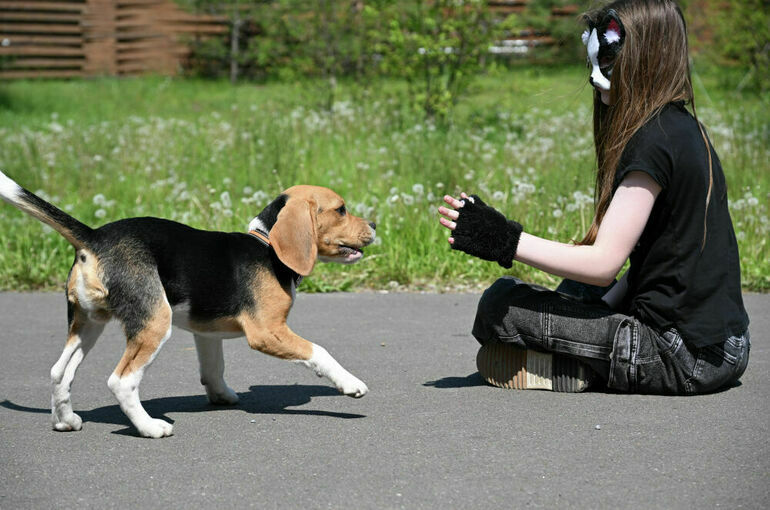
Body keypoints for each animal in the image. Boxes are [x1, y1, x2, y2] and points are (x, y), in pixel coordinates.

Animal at [0, 172, 374, 438]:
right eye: (341, 209)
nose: (374, 224)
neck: (267, 246)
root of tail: (95, 236)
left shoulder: (206, 333)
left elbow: (213, 369)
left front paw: (221, 396)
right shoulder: (268, 332)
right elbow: (319, 351)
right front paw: (350, 384)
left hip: (88, 323)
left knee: (60, 371)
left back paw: (65, 420)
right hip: (153, 322)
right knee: (121, 381)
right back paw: (150, 427)